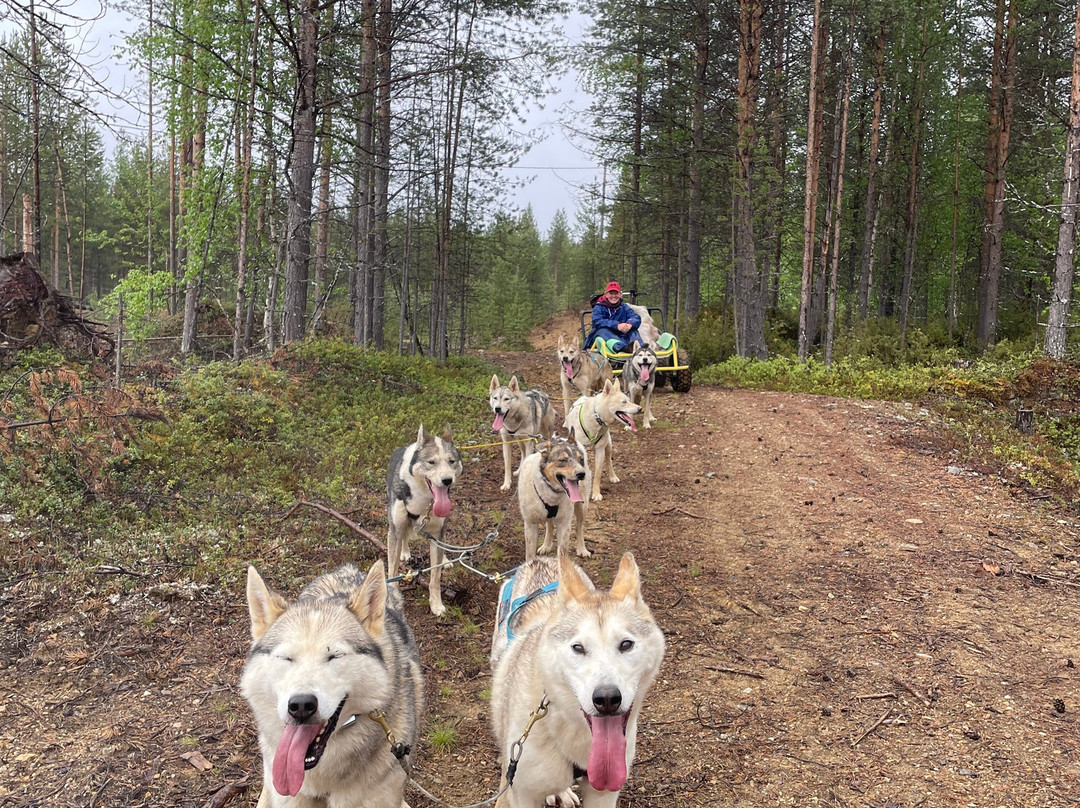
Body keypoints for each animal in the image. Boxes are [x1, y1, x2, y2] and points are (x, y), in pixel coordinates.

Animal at [386, 423, 462, 613]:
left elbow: (435, 577)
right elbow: (392, 571)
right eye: (431, 462)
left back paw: (445, 560)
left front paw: (436, 604)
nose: (447, 480)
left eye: (451, 461)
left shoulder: (436, 532)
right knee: (404, 537)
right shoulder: (395, 530)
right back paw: (405, 551)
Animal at [492, 553, 665, 803]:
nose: (607, 698)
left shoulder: (604, 795)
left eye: (626, 644)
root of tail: (541, 559)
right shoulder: (519, 794)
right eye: (578, 648)